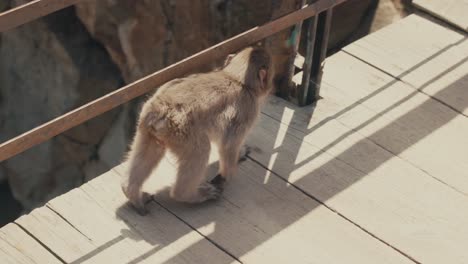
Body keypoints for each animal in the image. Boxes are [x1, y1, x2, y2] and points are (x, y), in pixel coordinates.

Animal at [122, 46, 272, 214]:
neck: (235, 78)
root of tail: (159, 108)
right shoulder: (248, 109)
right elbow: (228, 145)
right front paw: (226, 175)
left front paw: (239, 154)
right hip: (182, 132)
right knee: (200, 150)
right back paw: (189, 194)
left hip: (148, 129)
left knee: (149, 150)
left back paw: (131, 192)